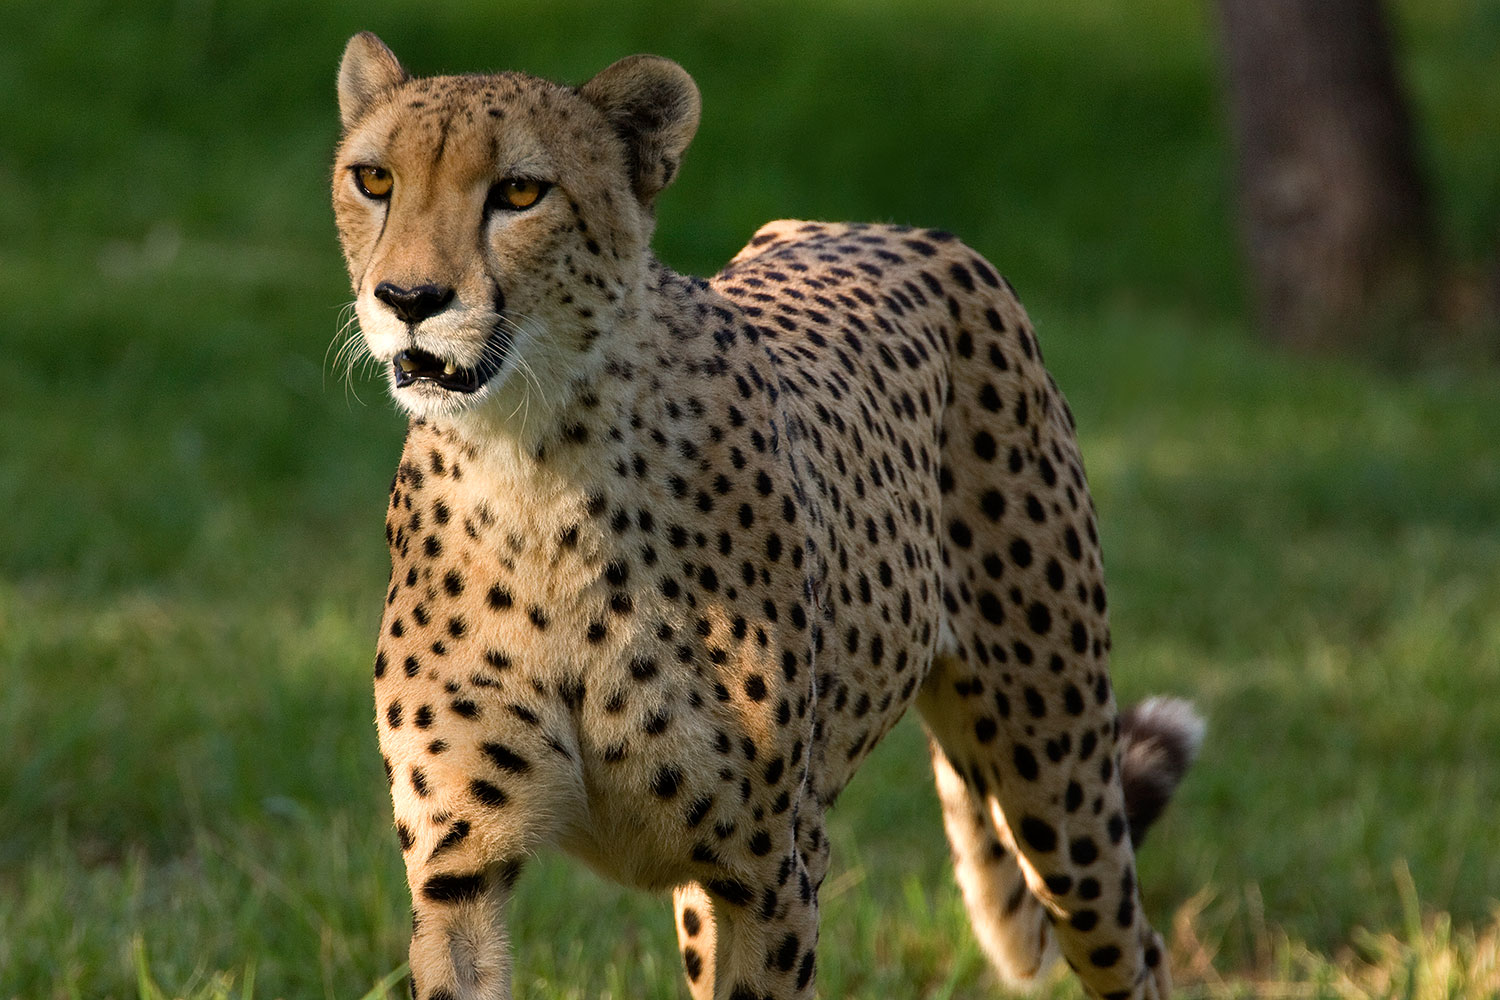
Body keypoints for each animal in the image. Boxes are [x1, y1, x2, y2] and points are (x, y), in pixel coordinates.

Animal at [330, 32, 1204, 1000]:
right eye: (374, 179)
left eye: (520, 192)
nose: (408, 300)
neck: (531, 467)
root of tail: (884, 227)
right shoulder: (460, 871)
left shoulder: (770, 865)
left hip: (1055, 768)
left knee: (1134, 944)